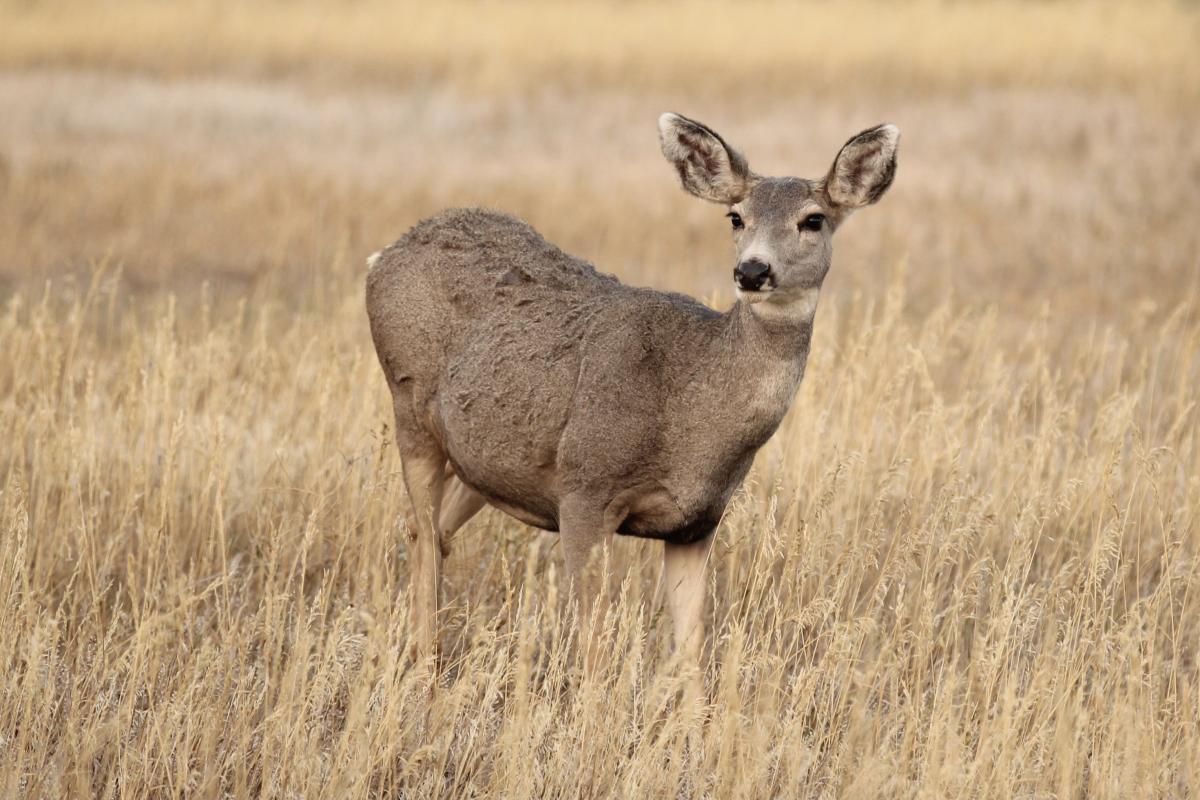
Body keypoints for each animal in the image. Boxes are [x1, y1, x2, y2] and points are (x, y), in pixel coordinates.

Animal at [364, 112, 902, 662]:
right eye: (735, 217)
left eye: (813, 220)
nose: (752, 270)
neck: (688, 408)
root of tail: (386, 254)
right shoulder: (583, 489)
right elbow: (595, 645)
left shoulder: (697, 523)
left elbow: (691, 650)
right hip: (409, 405)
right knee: (423, 532)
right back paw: (422, 657)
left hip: (485, 456)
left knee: (433, 529)